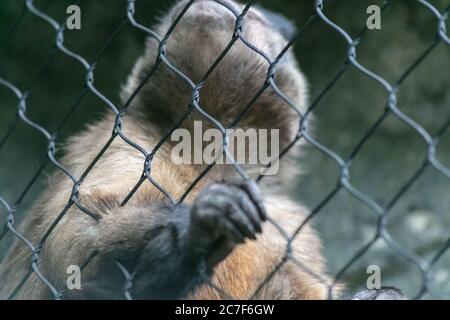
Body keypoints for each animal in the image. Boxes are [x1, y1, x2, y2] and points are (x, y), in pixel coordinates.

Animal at [0, 0, 404, 300]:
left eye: (253, 14)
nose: (208, 3)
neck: (206, 151)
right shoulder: (121, 141)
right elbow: (74, 247)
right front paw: (196, 231)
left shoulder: (286, 219)